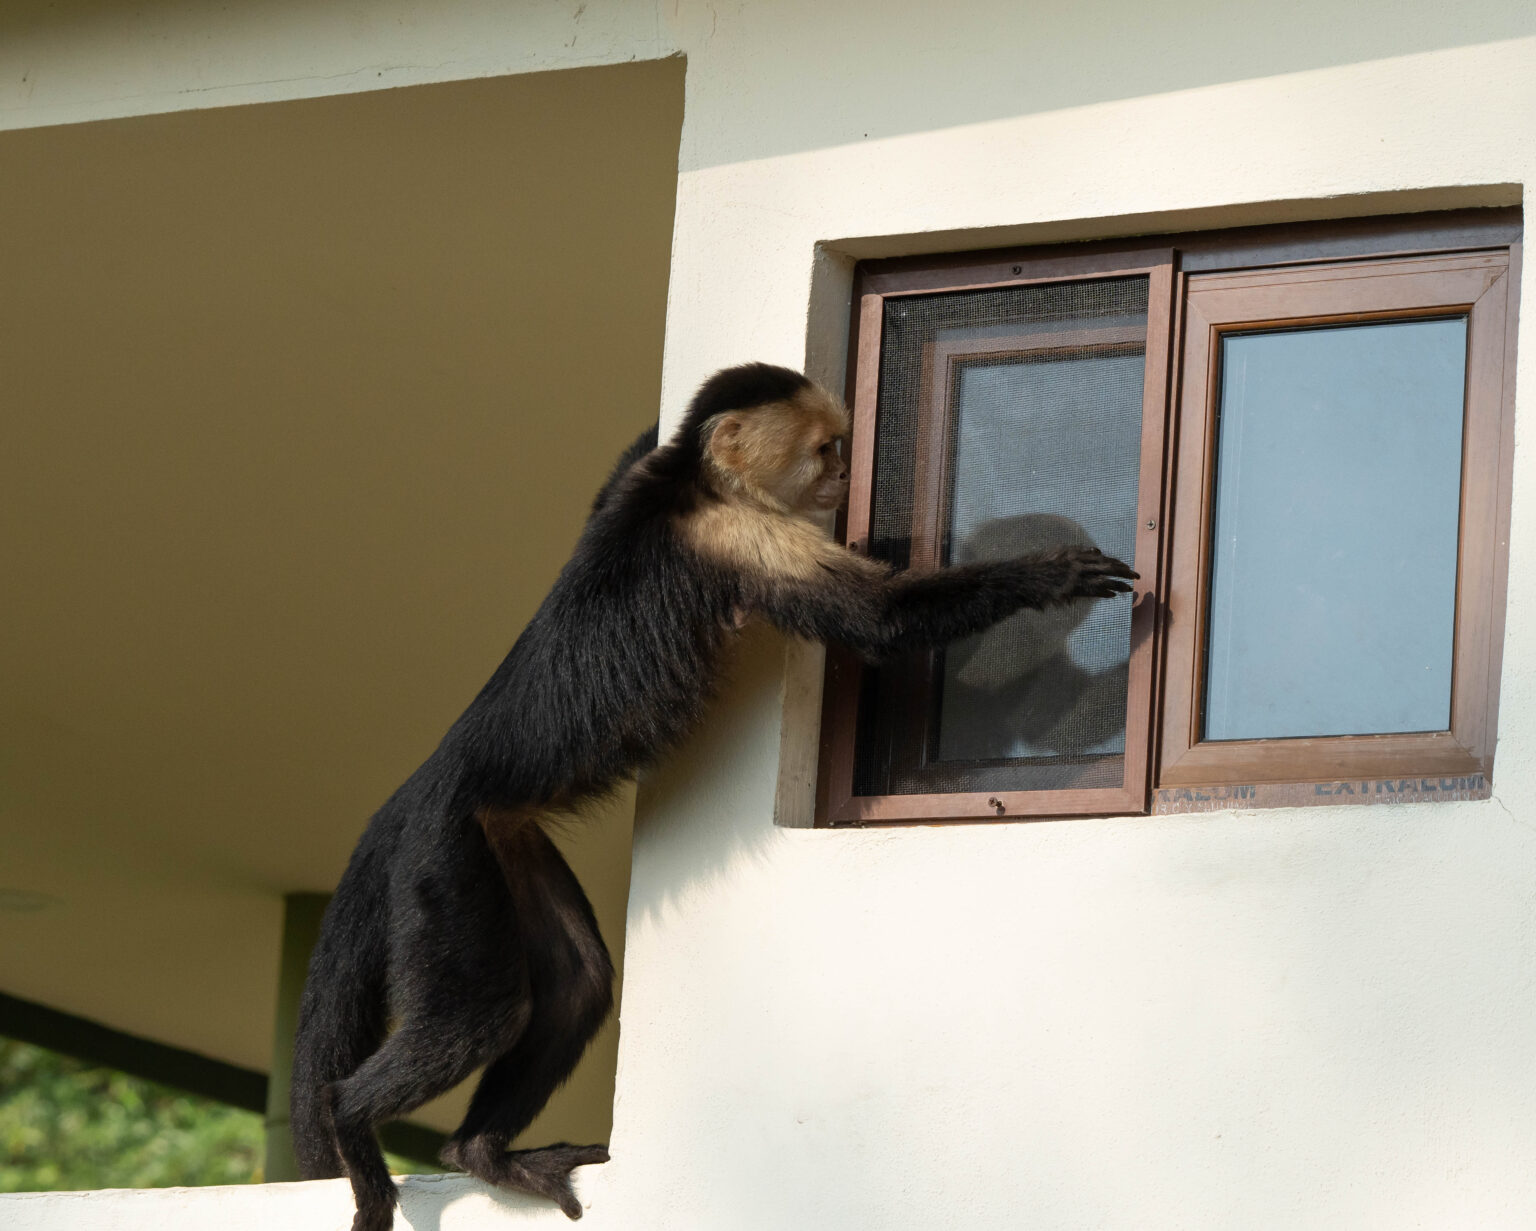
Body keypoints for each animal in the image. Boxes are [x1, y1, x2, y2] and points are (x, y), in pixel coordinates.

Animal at [290, 362, 1136, 1231]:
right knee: (480, 1014)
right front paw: (1046, 576)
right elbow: (883, 620)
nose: (842, 476)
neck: (695, 485)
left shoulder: (646, 491)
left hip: (503, 837)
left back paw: (481, 1152)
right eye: (826, 448)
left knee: (579, 979)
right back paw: (353, 1117)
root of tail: (418, 785)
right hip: (443, 856)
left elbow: (611, 483)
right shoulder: (741, 533)